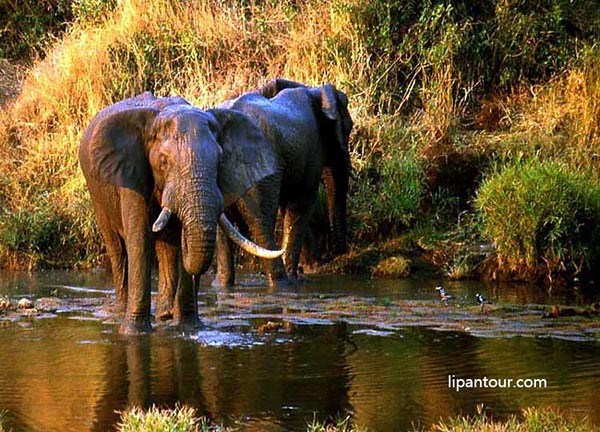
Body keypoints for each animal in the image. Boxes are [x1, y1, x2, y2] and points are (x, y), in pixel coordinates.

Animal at [79, 91, 284, 334]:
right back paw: (120, 312)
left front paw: (188, 328)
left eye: (220, 160)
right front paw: (133, 333)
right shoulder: (131, 176)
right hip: (96, 193)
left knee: (166, 249)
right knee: (117, 249)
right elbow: (139, 241)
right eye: (164, 161)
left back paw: (165, 316)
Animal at [214, 78, 352, 286]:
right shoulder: (312, 150)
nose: (336, 255)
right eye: (349, 128)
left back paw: (222, 285)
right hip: (256, 169)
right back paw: (282, 283)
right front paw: (299, 274)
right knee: (262, 224)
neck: (313, 89)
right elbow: (301, 203)